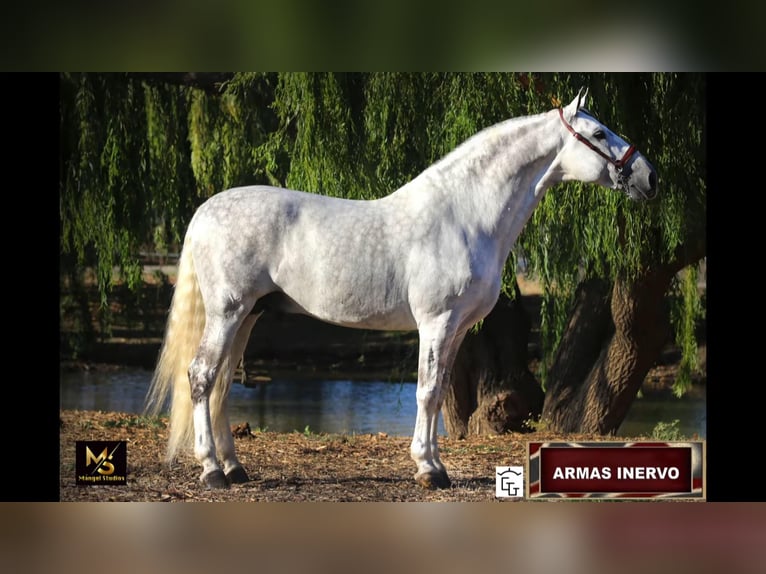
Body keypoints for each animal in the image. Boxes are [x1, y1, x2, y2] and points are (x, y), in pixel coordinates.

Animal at [145, 89, 657, 490]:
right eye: (598, 135)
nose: (649, 177)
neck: (464, 215)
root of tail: (205, 211)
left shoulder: (457, 328)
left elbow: (441, 388)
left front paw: (434, 464)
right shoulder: (436, 321)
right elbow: (428, 392)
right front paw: (429, 470)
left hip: (249, 314)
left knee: (222, 383)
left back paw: (235, 468)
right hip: (228, 312)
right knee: (201, 377)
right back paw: (212, 472)